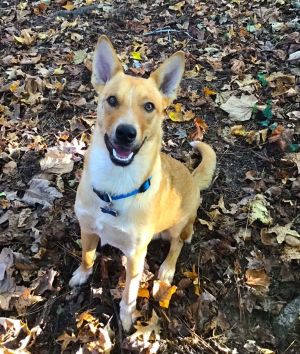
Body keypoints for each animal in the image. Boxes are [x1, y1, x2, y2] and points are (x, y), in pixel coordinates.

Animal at [69, 36, 217, 332]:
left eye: (149, 106)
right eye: (111, 100)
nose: (126, 133)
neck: (114, 187)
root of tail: (192, 177)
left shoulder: (136, 255)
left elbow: (129, 291)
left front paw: (126, 316)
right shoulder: (87, 228)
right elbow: (87, 255)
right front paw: (83, 273)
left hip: (179, 225)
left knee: (177, 244)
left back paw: (168, 268)